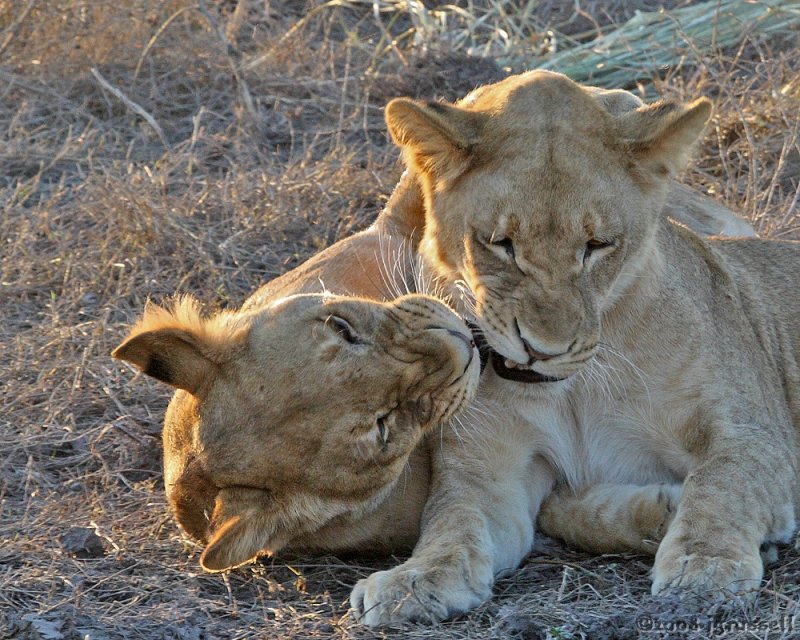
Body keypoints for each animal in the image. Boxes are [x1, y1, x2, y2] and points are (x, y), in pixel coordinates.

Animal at [111, 77, 756, 624]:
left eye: (341, 327)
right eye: (383, 426)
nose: (456, 346)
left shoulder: (388, 225)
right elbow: (542, 511)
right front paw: (664, 510)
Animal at [348, 70, 800, 624]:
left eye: (597, 245)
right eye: (500, 243)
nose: (543, 350)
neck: (575, 390)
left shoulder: (756, 435)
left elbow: (723, 483)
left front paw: (705, 567)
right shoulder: (486, 470)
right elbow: (453, 518)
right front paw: (416, 579)